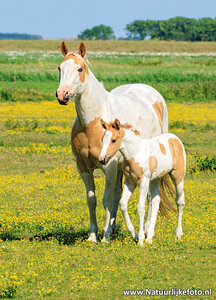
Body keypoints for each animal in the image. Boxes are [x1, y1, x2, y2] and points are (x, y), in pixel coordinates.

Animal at [55, 42, 169, 243]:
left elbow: (106, 200)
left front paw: (106, 236)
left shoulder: (110, 166)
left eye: (80, 69)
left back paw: (146, 231)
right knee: (119, 195)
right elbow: (92, 199)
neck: (92, 124)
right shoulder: (83, 167)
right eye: (60, 68)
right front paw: (93, 235)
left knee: (149, 197)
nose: (62, 95)